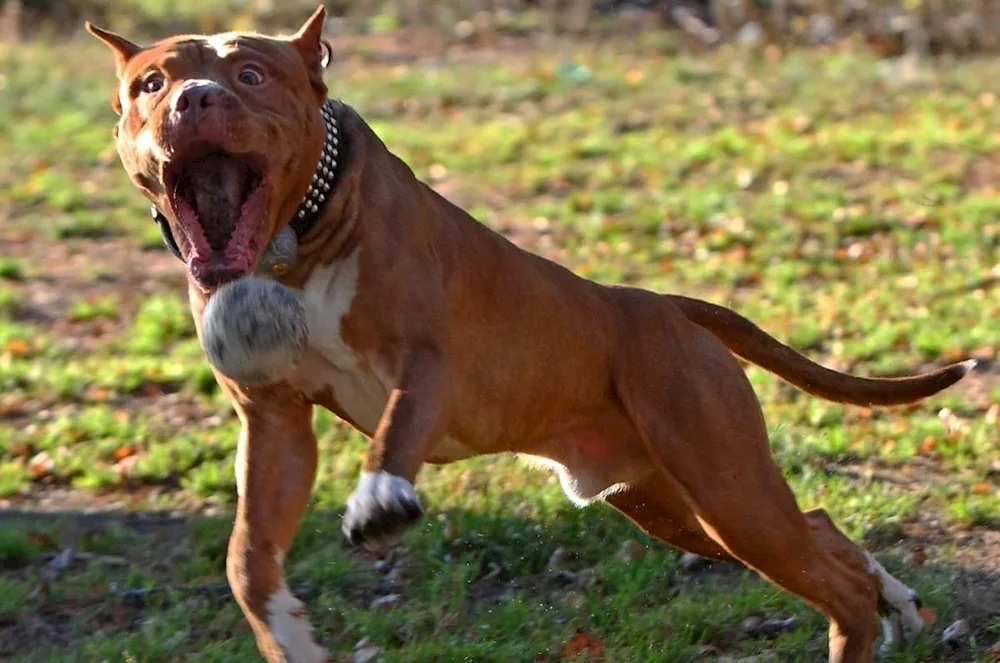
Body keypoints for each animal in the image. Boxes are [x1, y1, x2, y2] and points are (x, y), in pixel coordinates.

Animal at [88, 7, 976, 660]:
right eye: (151, 82)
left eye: (250, 74)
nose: (193, 100)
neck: (297, 238)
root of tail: (663, 304)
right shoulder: (274, 422)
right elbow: (246, 557)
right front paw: (289, 633)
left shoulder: (426, 361)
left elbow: (395, 427)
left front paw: (379, 497)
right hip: (674, 505)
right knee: (820, 530)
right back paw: (896, 598)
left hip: (727, 489)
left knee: (831, 579)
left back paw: (871, 613)